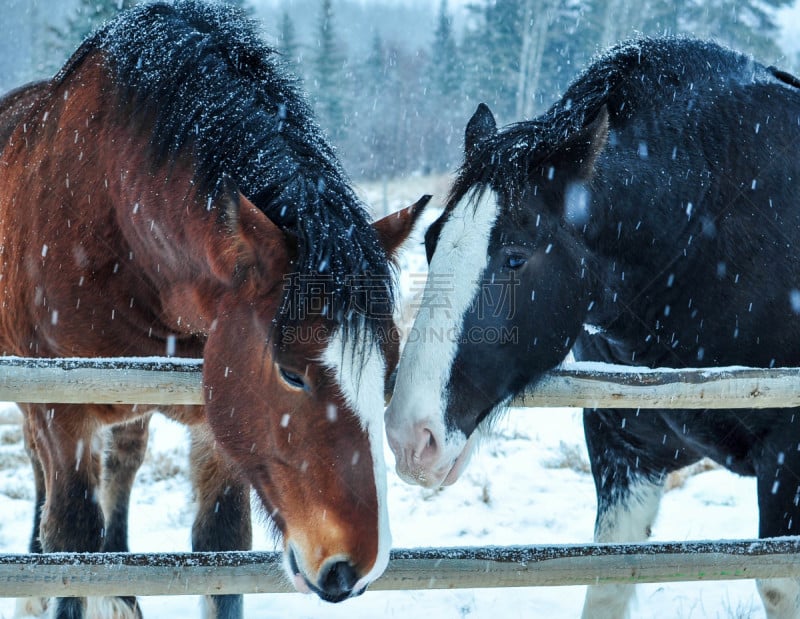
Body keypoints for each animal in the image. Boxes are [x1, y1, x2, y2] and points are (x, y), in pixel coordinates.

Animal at [0, 2, 428, 616]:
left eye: (388, 375)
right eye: (291, 373)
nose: (352, 567)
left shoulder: (216, 429)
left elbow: (219, 551)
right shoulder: (61, 412)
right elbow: (71, 552)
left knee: (123, 465)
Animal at [388, 37, 800, 616]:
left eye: (516, 257)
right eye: (429, 241)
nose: (410, 437)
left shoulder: (787, 459)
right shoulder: (623, 449)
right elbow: (608, 582)